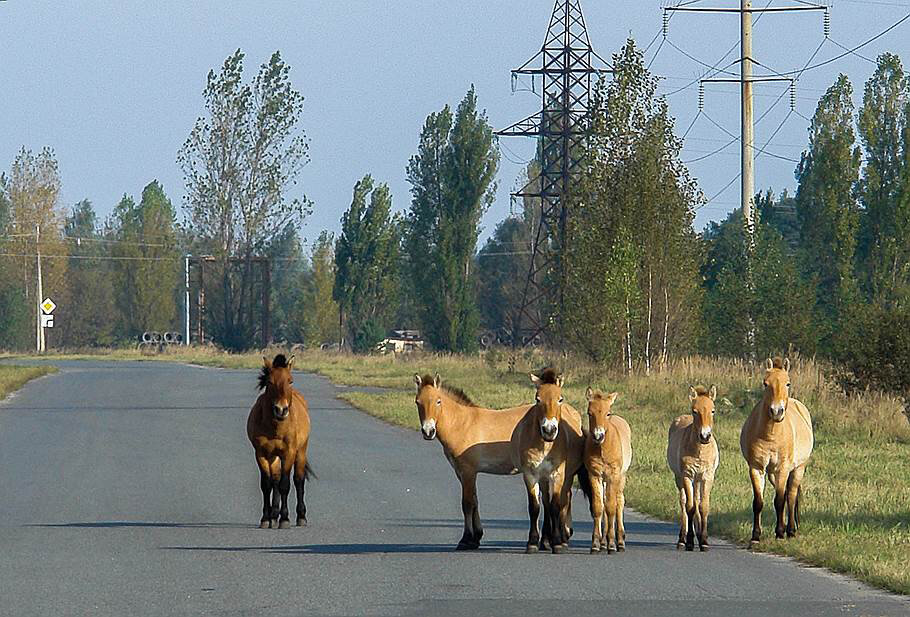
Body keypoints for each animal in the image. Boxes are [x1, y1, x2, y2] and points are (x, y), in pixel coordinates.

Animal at [246, 354, 314, 528]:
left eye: (290, 381)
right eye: (270, 382)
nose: (281, 410)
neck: (275, 427)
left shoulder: (289, 453)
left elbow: (285, 485)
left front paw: (285, 519)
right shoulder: (261, 454)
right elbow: (267, 484)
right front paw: (266, 518)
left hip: (301, 451)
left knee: (298, 480)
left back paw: (301, 516)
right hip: (274, 456)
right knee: (275, 480)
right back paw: (273, 516)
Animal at [510, 368, 588, 552]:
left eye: (560, 398)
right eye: (537, 399)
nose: (549, 430)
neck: (545, 445)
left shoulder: (557, 475)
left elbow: (556, 506)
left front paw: (558, 541)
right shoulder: (531, 475)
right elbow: (535, 507)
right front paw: (532, 542)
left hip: (566, 477)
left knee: (564, 500)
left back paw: (562, 537)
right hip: (544, 479)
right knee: (546, 502)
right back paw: (546, 540)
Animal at [584, 390, 636, 552]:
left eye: (608, 413)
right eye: (589, 413)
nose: (598, 435)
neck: (603, 448)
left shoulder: (614, 475)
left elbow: (612, 507)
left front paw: (612, 544)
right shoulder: (594, 475)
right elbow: (598, 506)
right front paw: (595, 543)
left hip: (621, 477)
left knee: (619, 501)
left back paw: (620, 541)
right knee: (606, 501)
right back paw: (603, 542)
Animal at [668, 384, 724, 548]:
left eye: (713, 410)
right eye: (695, 411)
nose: (704, 436)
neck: (700, 451)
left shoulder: (707, 477)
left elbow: (703, 506)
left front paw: (704, 540)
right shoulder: (687, 475)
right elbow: (690, 507)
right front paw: (690, 541)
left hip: (698, 479)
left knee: (697, 500)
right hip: (679, 478)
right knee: (683, 502)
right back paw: (682, 539)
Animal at [744, 356, 816, 544]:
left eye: (788, 383)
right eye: (765, 383)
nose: (776, 411)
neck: (771, 435)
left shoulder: (782, 469)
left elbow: (780, 501)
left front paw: (779, 533)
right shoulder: (756, 468)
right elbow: (758, 502)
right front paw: (756, 535)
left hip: (798, 469)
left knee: (790, 496)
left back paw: (789, 530)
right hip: (771, 474)